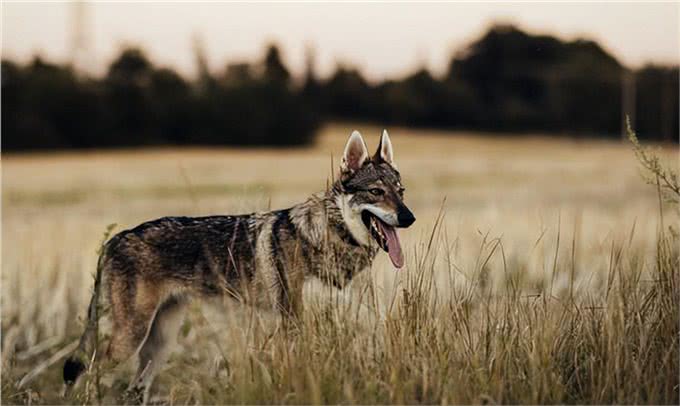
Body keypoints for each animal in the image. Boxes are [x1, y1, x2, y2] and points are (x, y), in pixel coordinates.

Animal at [62, 130, 414, 400]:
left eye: (400, 192)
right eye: (376, 192)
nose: (408, 218)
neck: (329, 237)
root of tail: (115, 239)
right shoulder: (293, 319)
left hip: (159, 345)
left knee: (132, 391)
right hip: (128, 341)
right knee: (85, 373)